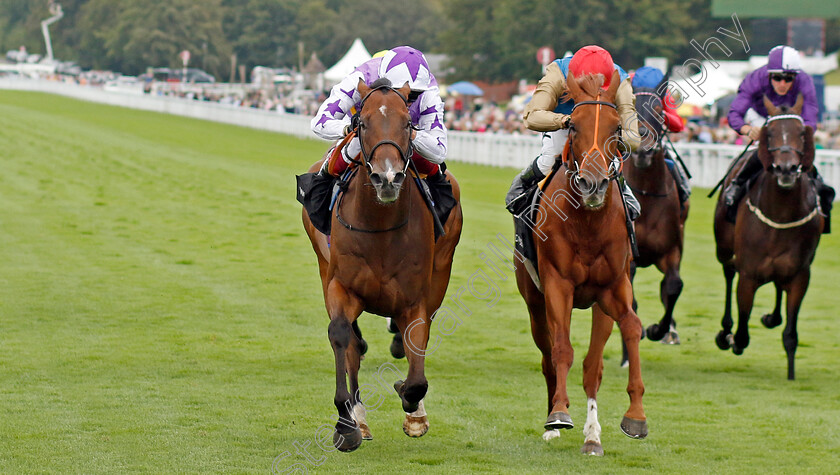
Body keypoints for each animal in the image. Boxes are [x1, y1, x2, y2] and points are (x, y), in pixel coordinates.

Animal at [300, 80, 462, 452]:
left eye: (408, 123)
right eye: (362, 123)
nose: (387, 178)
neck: (380, 227)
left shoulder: (415, 299)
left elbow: (416, 365)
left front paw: (411, 406)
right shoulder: (340, 286)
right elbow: (341, 335)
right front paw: (346, 423)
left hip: (441, 270)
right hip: (322, 264)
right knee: (352, 345)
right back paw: (359, 418)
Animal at [516, 70, 648, 458]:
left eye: (617, 129)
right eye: (573, 125)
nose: (593, 183)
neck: (588, 223)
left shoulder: (612, 287)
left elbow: (625, 334)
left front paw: (628, 420)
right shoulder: (558, 285)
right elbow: (562, 350)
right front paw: (559, 414)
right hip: (534, 300)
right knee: (547, 356)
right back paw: (552, 421)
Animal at [712, 95, 824, 382]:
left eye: (801, 134)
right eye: (770, 133)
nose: (786, 169)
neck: (781, 216)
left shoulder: (800, 275)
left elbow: (791, 333)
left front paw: (791, 374)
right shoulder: (748, 274)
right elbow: (742, 333)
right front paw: (731, 338)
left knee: (778, 289)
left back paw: (770, 317)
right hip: (724, 249)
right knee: (728, 273)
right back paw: (725, 331)